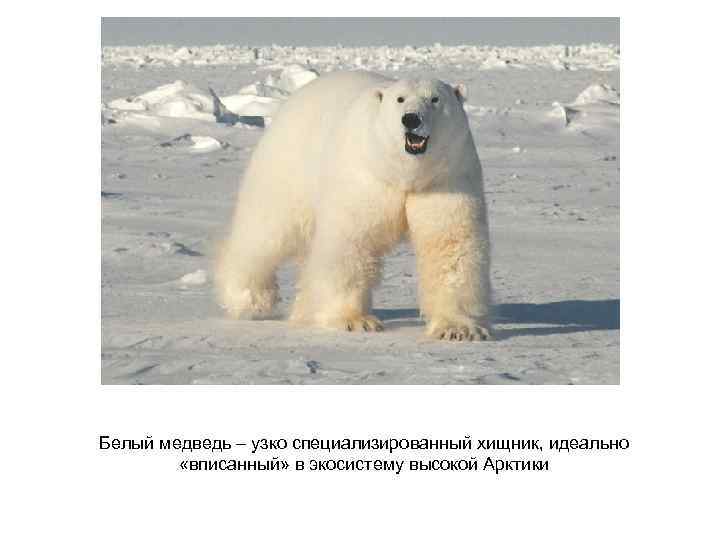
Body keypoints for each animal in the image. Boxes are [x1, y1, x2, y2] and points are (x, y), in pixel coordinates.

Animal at [215, 71, 492, 341]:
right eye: (400, 99)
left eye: (435, 99)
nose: (411, 119)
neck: (402, 173)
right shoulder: (363, 176)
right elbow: (351, 243)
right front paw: (355, 321)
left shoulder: (447, 178)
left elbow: (451, 245)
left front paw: (458, 329)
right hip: (288, 167)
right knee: (265, 232)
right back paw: (249, 298)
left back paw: (304, 310)